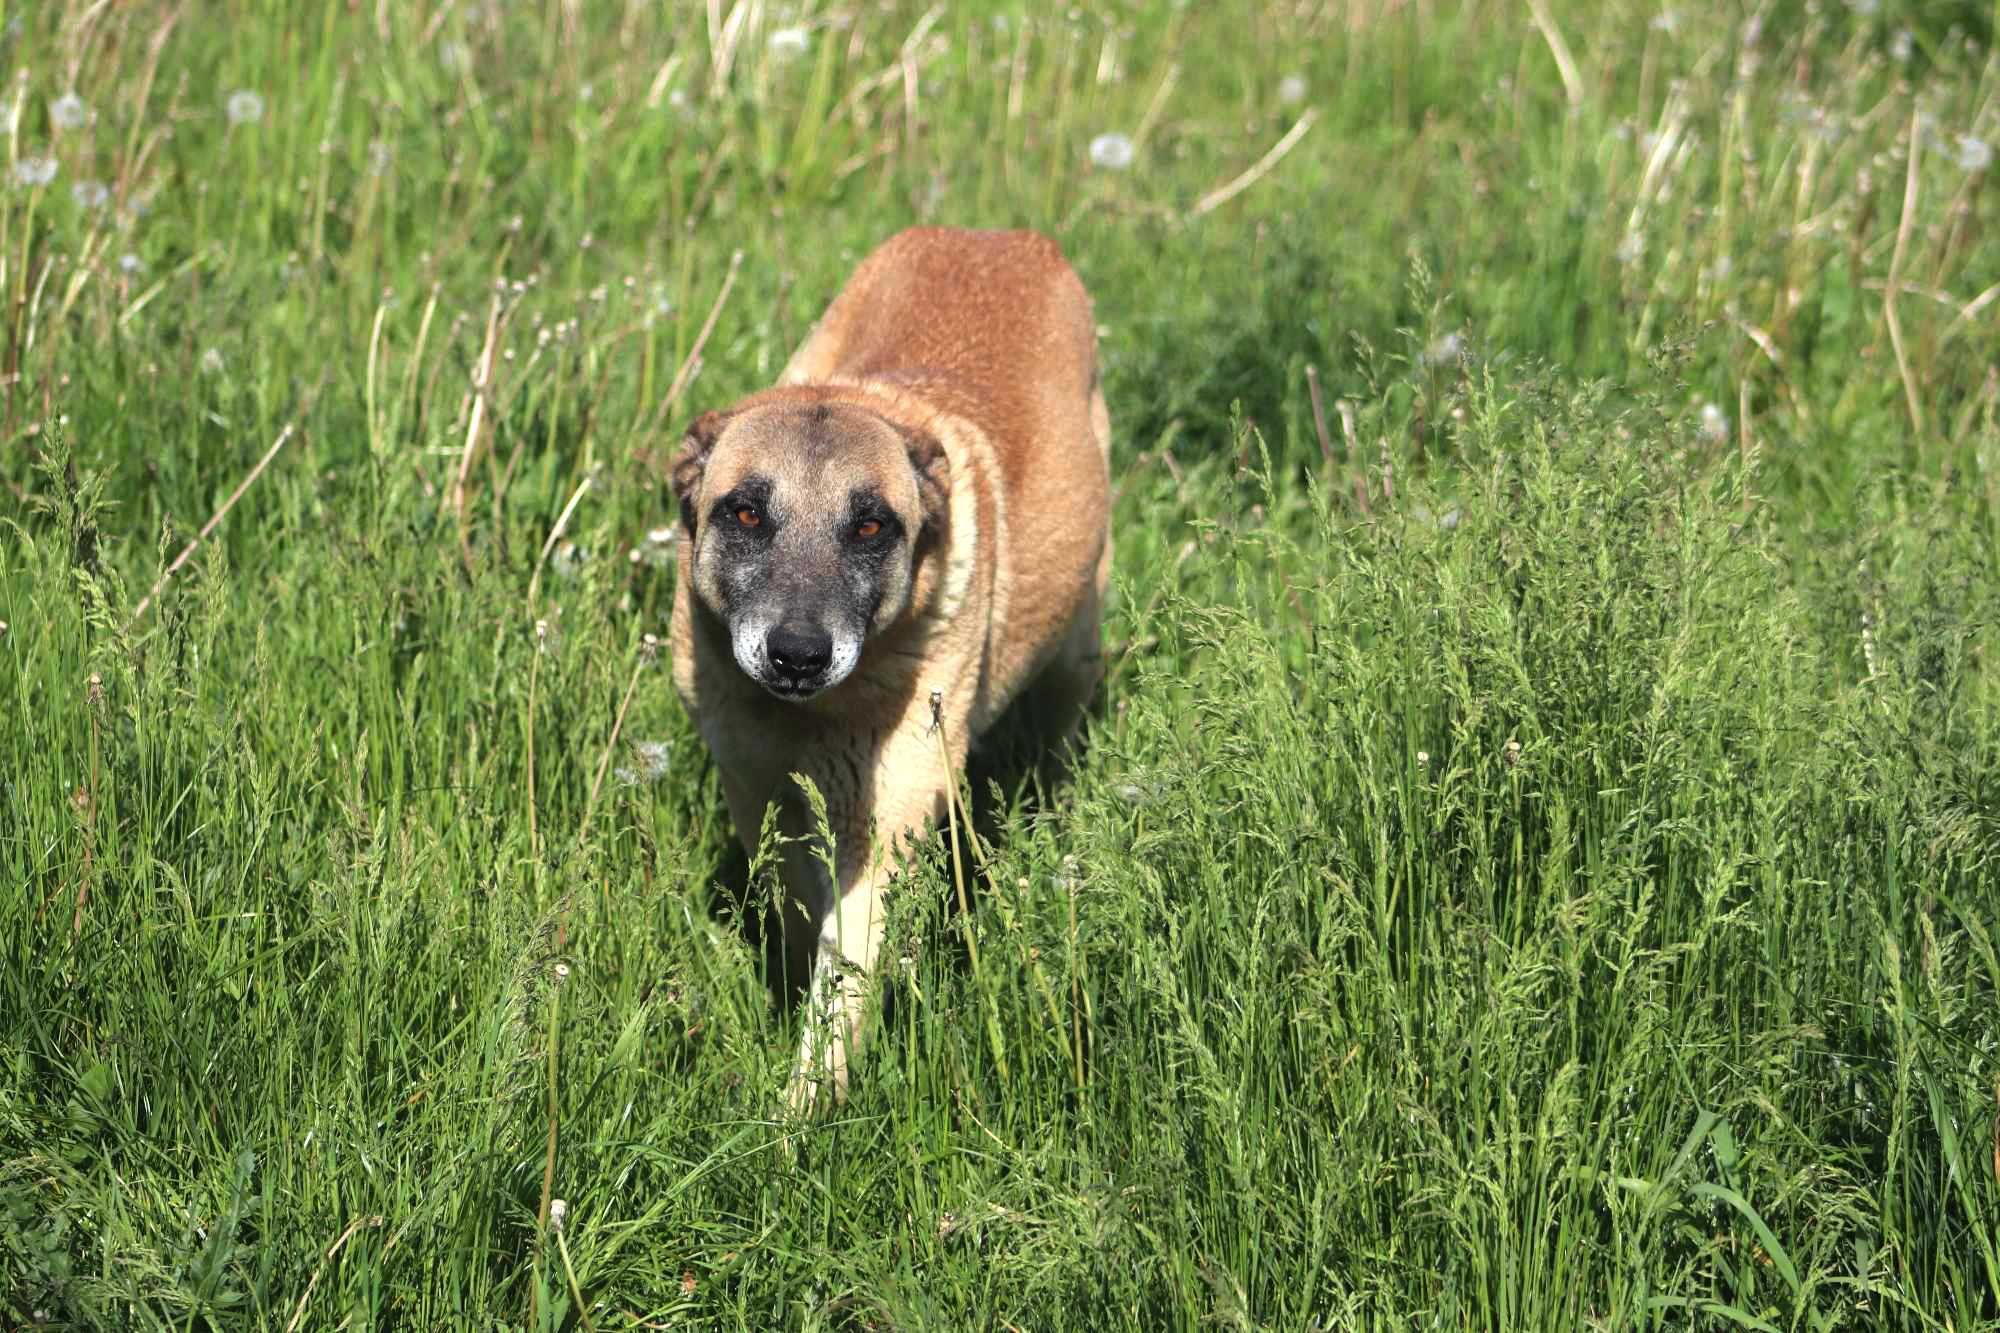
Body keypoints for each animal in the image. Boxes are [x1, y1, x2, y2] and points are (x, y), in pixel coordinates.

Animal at [668, 231, 1112, 1112]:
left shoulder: (888, 820)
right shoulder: (756, 787)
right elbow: (797, 915)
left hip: (1076, 642)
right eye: (745, 512)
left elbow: (844, 979)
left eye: (871, 525)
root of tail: (1007, 237)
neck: (810, 718)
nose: (798, 654)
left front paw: (798, 1118)